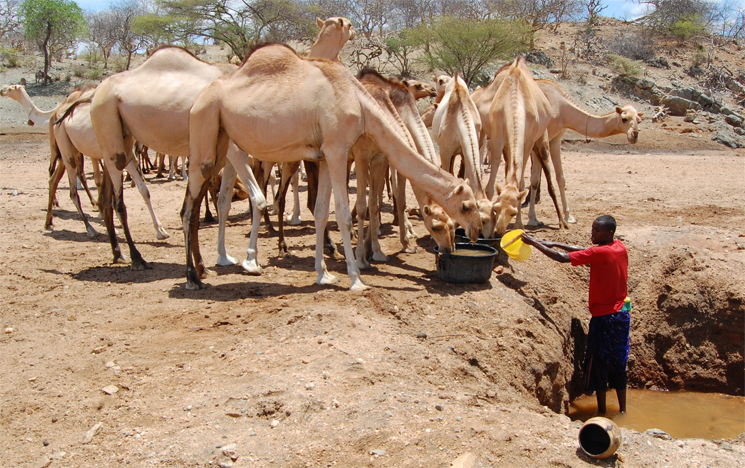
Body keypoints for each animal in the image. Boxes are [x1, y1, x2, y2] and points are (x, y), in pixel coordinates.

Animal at [46, 86, 170, 239]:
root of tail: (57, 115)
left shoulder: (126, 158)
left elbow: (143, 190)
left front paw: (160, 230)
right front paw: (110, 228)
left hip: (71, 152)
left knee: (53, 180)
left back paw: (49, 222)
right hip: (67, 152)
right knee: (73, 192)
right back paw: (90, 229)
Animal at [183, 44, 480, 292]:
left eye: (454, 223)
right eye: (466, 207)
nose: (472, 235)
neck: (362, 103)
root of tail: (199, 97)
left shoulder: (326, 156)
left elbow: (322, 212)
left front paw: (324, 274)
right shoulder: (339, 150)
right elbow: (345, 214)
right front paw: (357, 277)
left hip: (222, 142)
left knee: (206, 199)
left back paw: (215, 264)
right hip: (206, 132)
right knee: (189, 208)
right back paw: (196, 276)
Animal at [482, 56, 564, 236]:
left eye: (512, 212)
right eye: (495, 209)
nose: (499, 231)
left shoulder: (527, 141)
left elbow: (520, 184)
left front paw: (519, 225)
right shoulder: (497, 138)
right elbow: (490, 187)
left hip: (540, 140)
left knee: (537, 179)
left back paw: (549, 220)